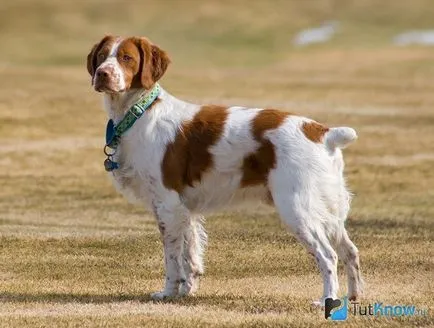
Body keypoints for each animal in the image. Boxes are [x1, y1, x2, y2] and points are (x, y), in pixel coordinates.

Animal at [85, 34, 362, 304]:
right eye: (102, 56)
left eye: (126, 58)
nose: (102, 73)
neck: (140, 113)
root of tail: (323, 132)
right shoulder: (185, 209)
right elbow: (190, 254)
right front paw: (187, 291)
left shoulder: (167, 204)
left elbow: (172, 259)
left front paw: (168, 293)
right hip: (329, 210)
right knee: (350, 251)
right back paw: (353, 296)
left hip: (297, 208)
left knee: (328, 255)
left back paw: (327, 299)